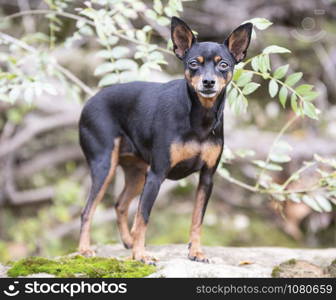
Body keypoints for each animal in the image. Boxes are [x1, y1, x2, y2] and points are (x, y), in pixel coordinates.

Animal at [79, 17, 252, 264]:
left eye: (224, 65)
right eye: (193, 63)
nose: (208, 82)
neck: (199, 117)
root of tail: (89, 102)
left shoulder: (207, 178)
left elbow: (197, 219)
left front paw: (196, 251)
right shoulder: (156, 175)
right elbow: (143, 217)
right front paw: (141, 255)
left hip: (136, 173)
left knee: (120, 204)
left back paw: (128, 242)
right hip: (105, 166)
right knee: (88, 210)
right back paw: (85, 249)